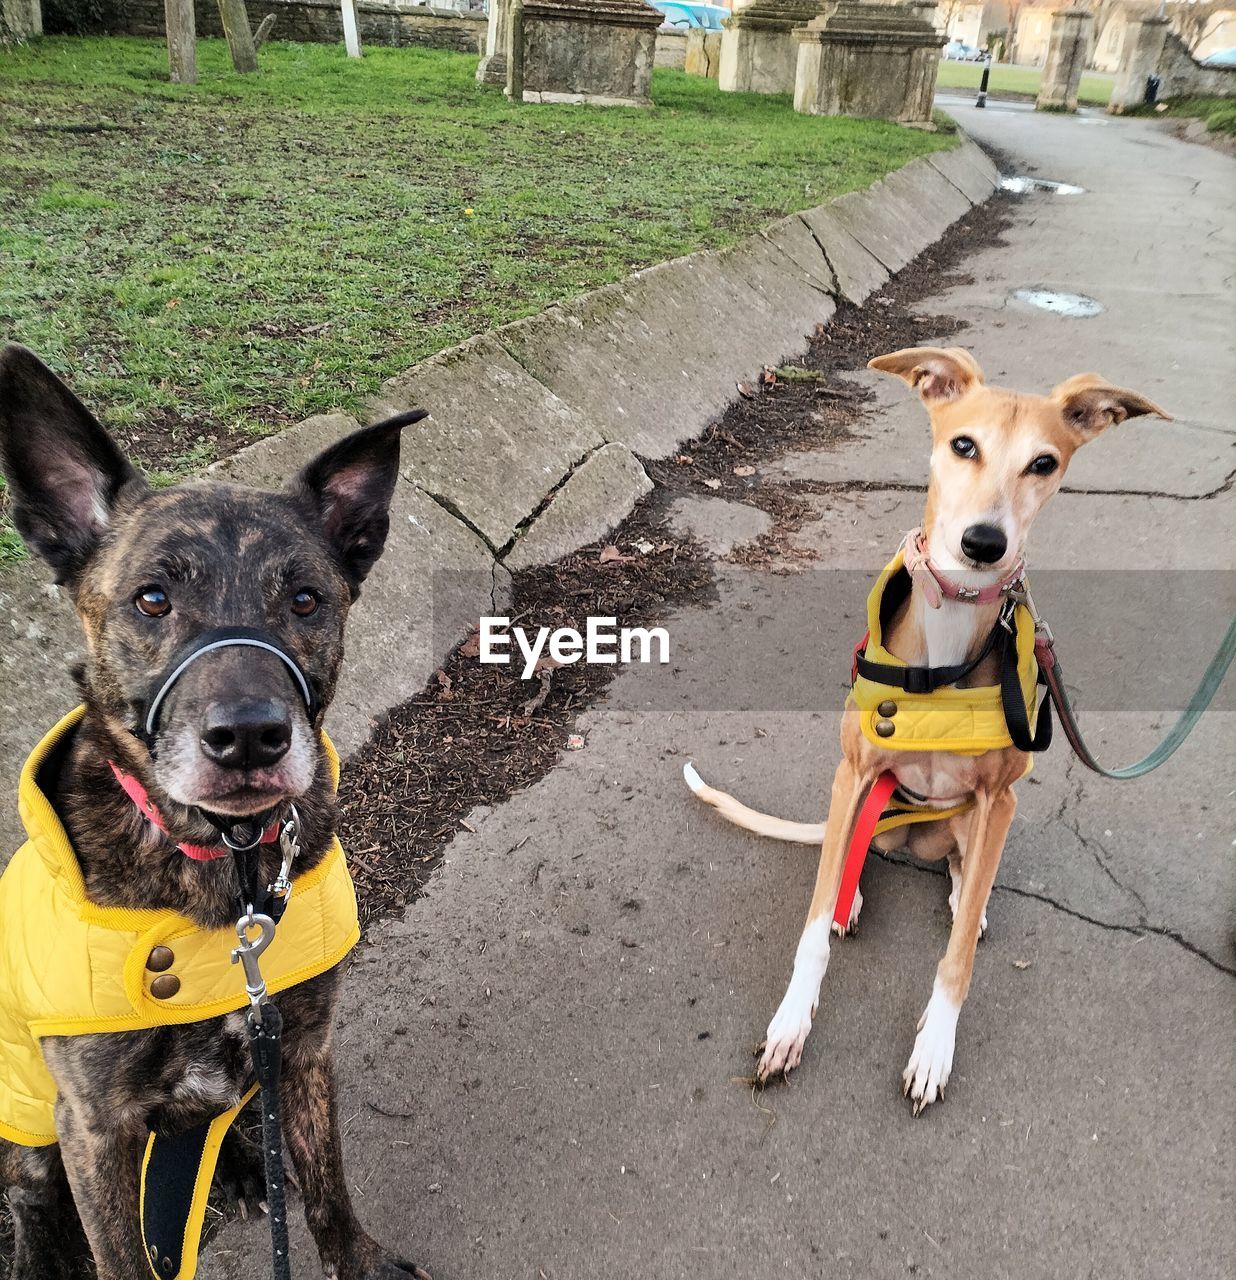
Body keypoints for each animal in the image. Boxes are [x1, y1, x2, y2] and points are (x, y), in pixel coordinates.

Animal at [0, 343, 435, 1280]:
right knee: (31, 1198)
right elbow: (122, 1255)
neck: (223, 867)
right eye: (151, 599)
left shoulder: (300, 1048)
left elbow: (327, 1186)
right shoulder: (94, 1126)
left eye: (306, 599)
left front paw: (357, 1257)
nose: (248, 738)